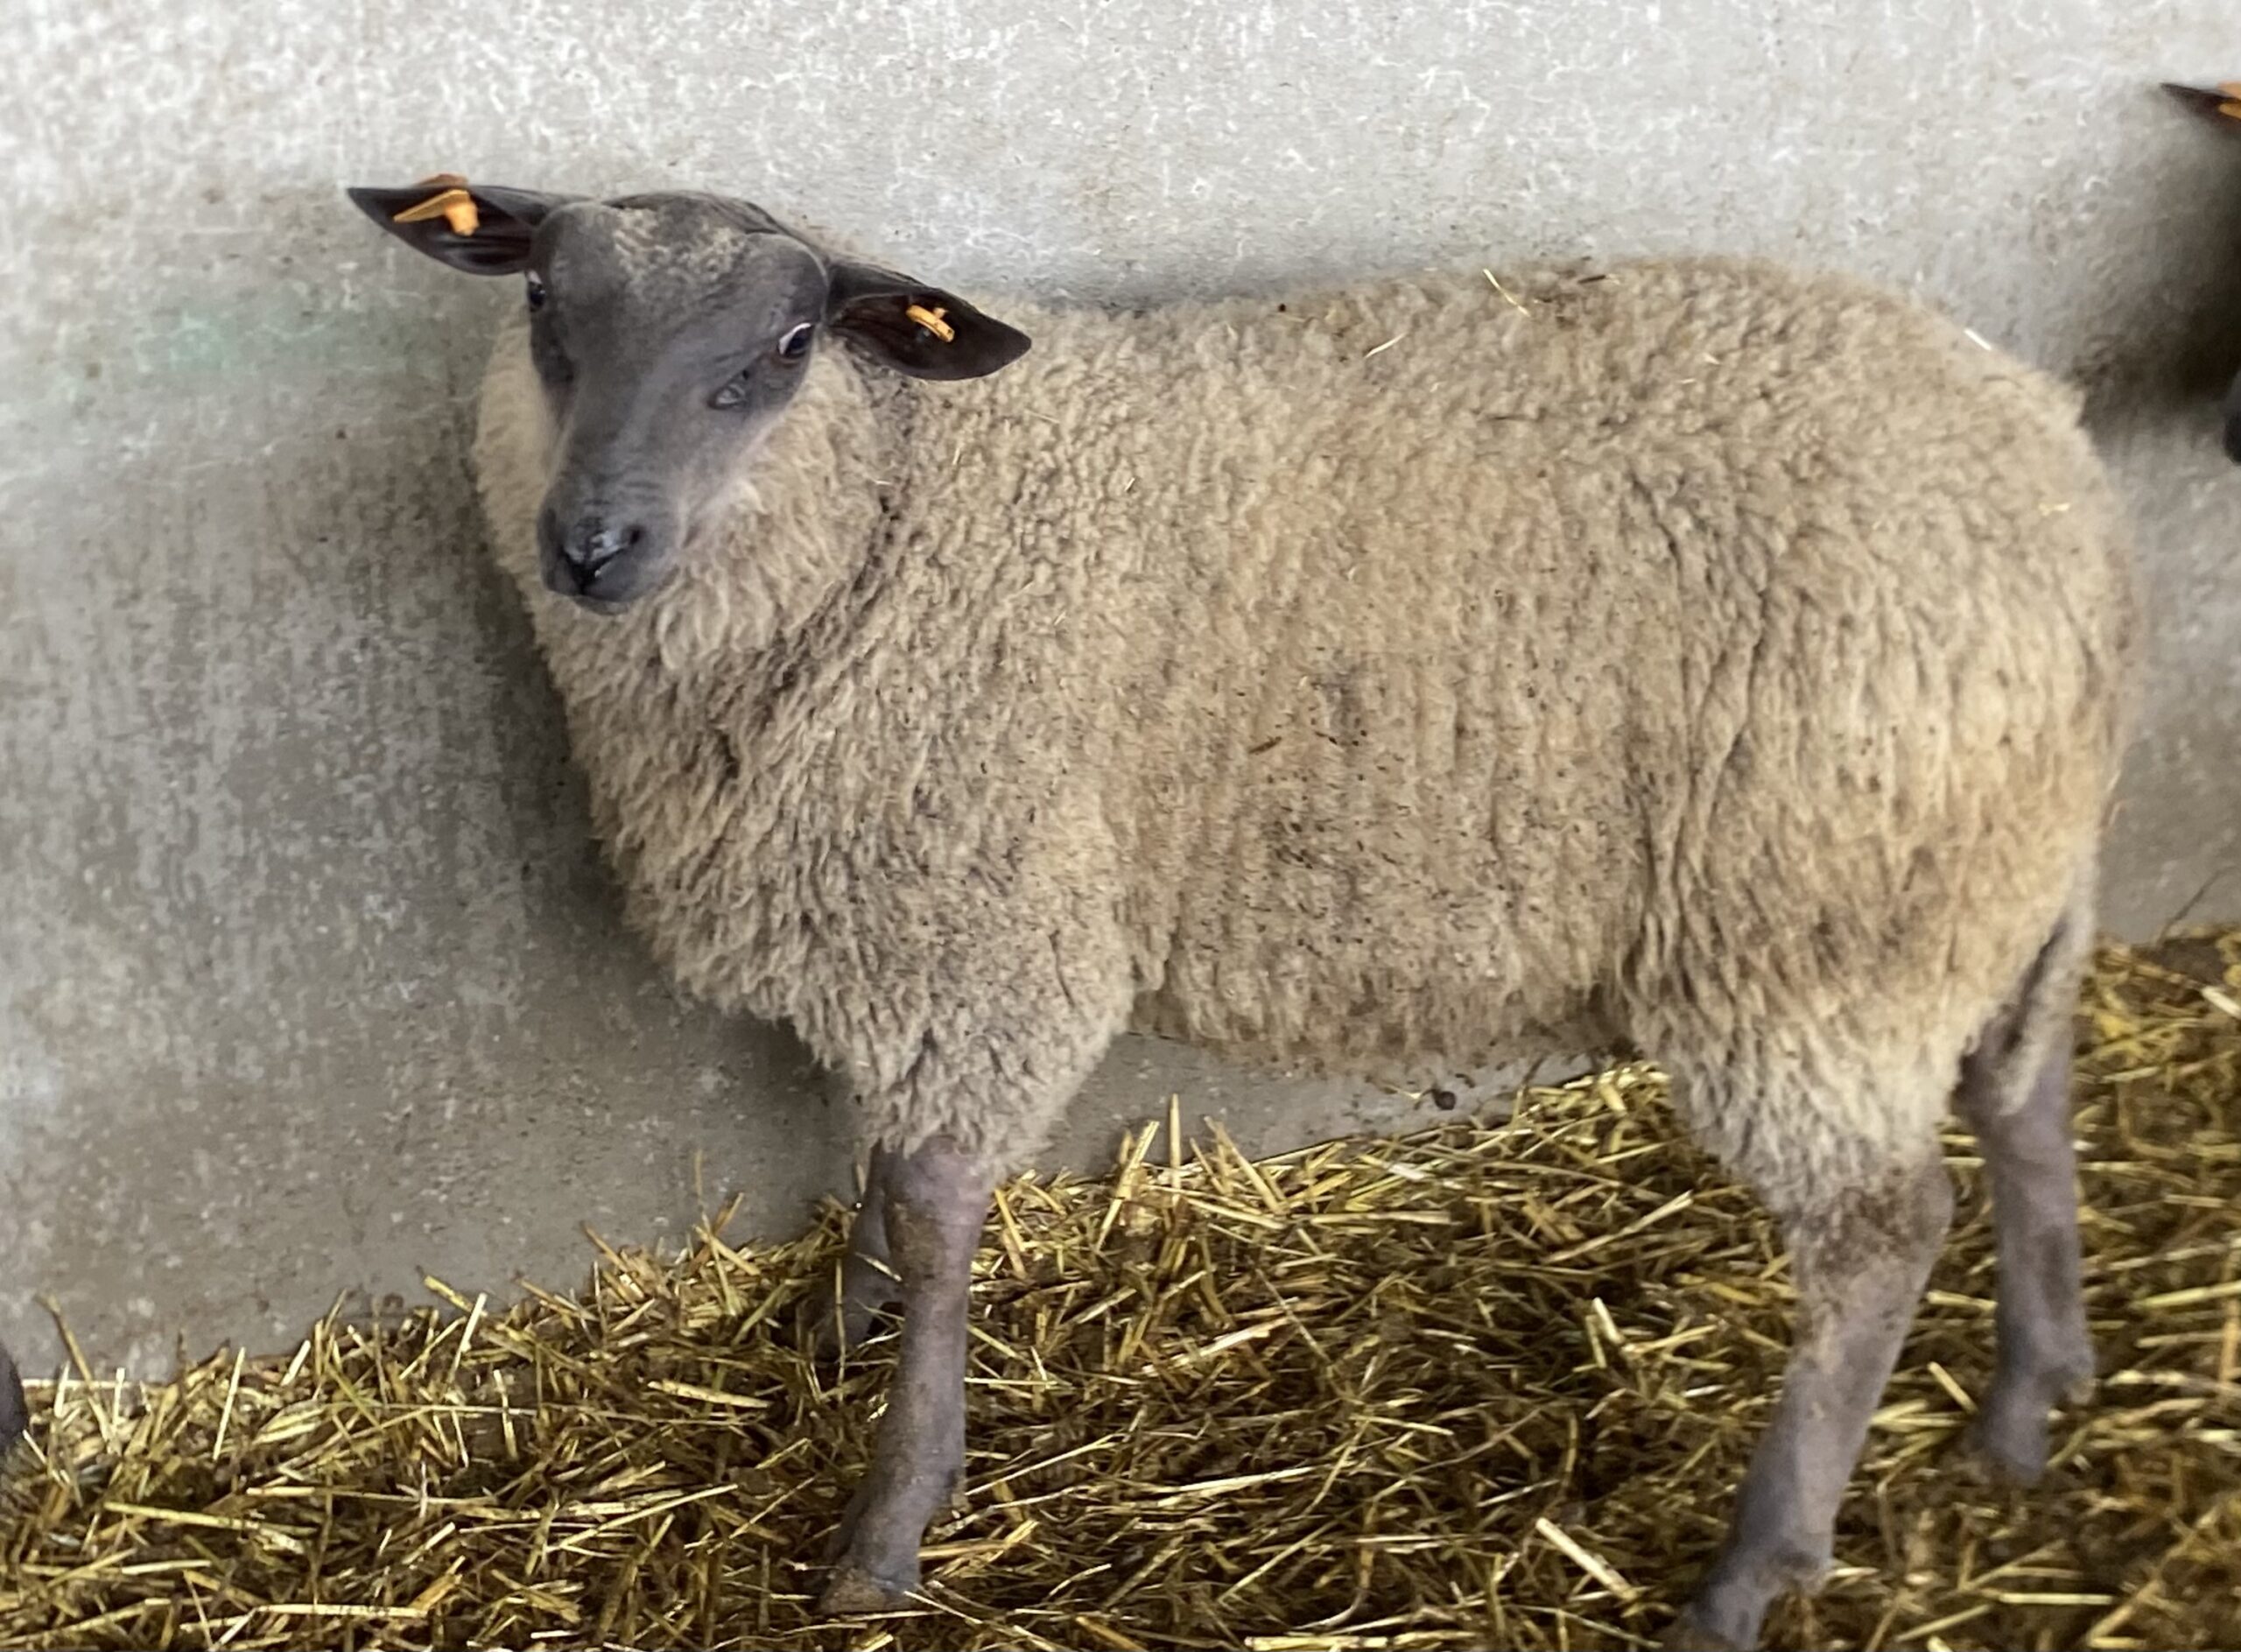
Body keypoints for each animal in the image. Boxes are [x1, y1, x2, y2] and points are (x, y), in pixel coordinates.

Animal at [347, 178, 2140, 1650]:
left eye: (786, 345)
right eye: (543, 304)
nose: (594, 543)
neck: (907, 504)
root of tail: (2068, 489)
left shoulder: (997, 922)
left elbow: (933, 1198)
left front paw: (889, 1520)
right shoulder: (906, 916)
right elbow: (877, 1153)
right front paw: (841, 1334)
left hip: (1816, 940)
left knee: (1880, 1233)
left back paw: (1749, 1575)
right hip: (1985, 894)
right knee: (2025, 1091)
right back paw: (2028, 1404)